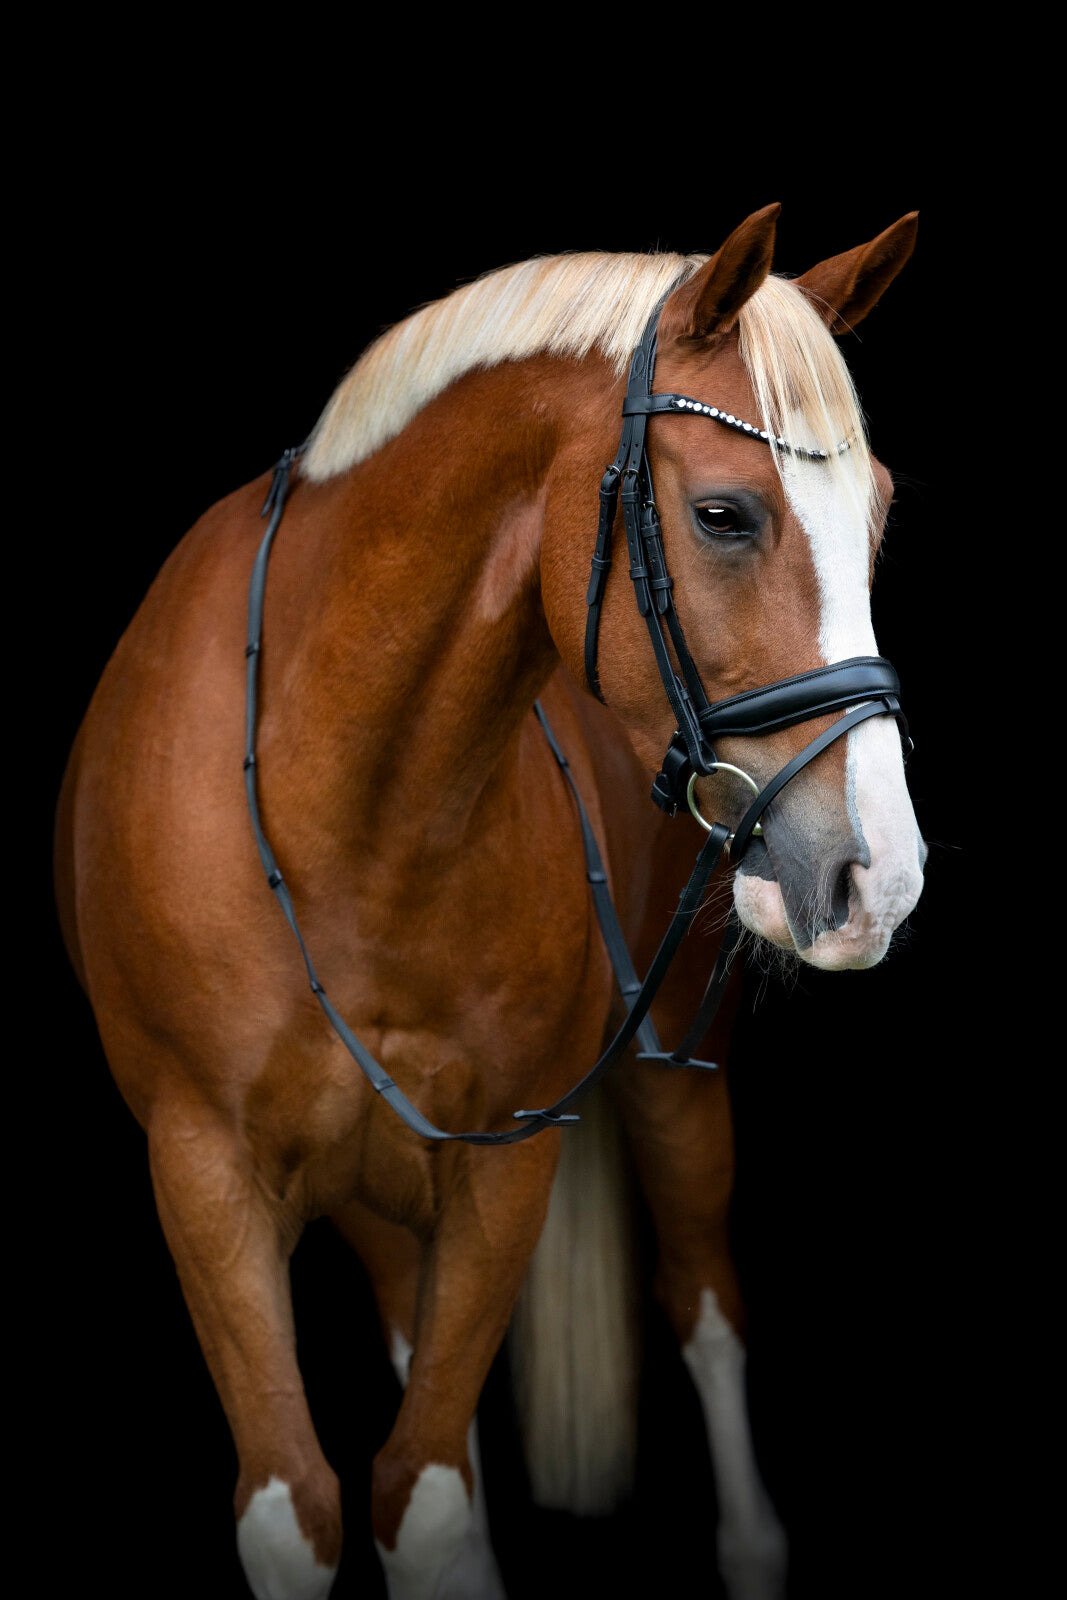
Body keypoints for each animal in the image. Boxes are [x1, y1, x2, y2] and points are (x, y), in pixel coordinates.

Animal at [53, 203, 924, 1600]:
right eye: (724, 514)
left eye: (879, 512)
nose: (877, 880)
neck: (342, 807)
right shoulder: (201, 1171)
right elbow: (308, 1507)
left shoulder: (506, 1163)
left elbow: (423, 1500)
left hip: (674, 1083)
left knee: (705, 1313)